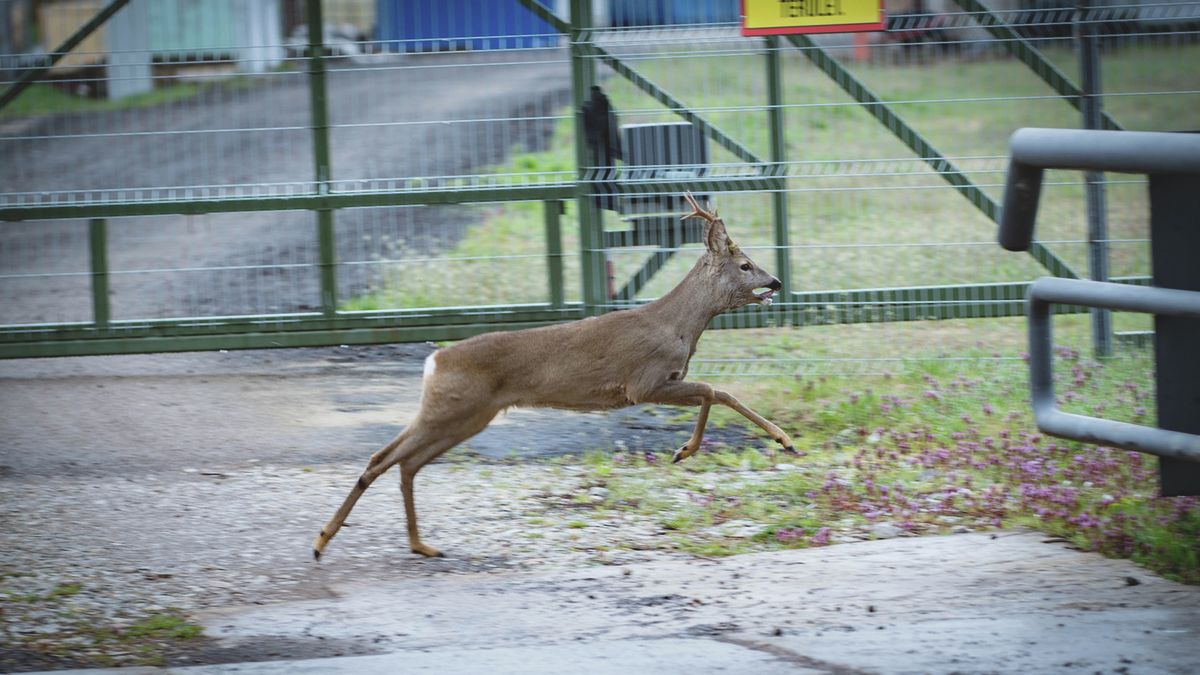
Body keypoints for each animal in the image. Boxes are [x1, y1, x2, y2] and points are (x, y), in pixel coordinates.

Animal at [314, 190, 792, 557]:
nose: (776, 283)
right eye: (746, 265)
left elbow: (714, 393)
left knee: (402, 462)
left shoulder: (659, 383)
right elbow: (715, 391)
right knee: (387, 459)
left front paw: (701, 448)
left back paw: (416, 545)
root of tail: (435, 361)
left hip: (467, 415)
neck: (679, 326)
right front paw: (761, 441)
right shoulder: (644, 382)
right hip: (453, 408)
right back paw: (324, 542)